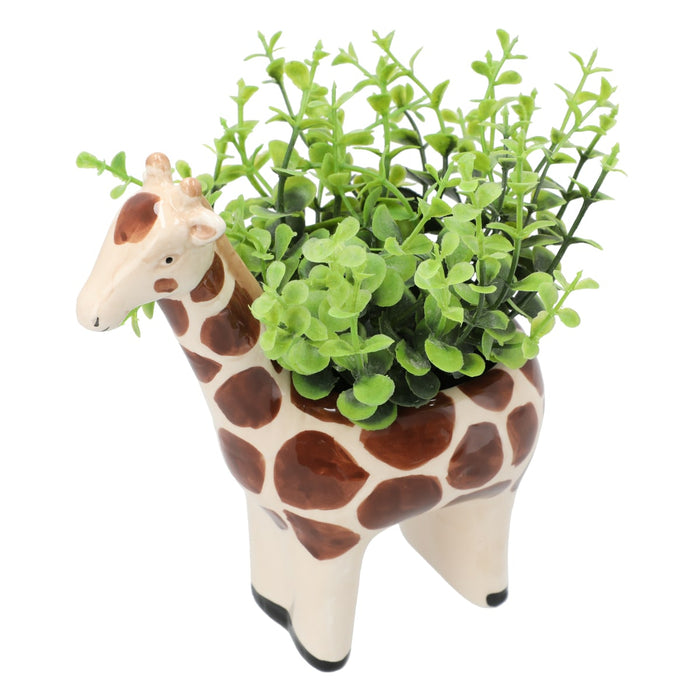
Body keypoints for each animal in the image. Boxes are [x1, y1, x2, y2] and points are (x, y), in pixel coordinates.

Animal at [77, 153, 545, 671]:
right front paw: (273, 612)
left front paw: (320, 659)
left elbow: (322, 627)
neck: (275, 413)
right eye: (111, 233)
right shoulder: (265, 513)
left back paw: (487, 595)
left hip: (504, 487)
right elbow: (272, 587)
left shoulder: (329, 543)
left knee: (487, 538)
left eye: (167, 258)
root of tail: (524, 351)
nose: (89, 312)